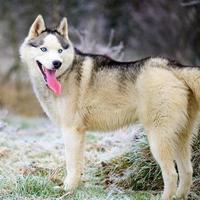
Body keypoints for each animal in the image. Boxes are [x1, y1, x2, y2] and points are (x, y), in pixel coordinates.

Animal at [19, 14, 200, 199]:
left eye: (60, 51)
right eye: (44, 49)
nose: (57, 63)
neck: (65, 74)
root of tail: (172, 65)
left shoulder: (71, 131)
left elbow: (72, 165)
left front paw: (66, 190)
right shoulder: (80, 133)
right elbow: (79, 165)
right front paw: (74, 188)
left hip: (158, 140)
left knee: (172, 174)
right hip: (180, 139)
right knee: (187, 171)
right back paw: (180, 196)